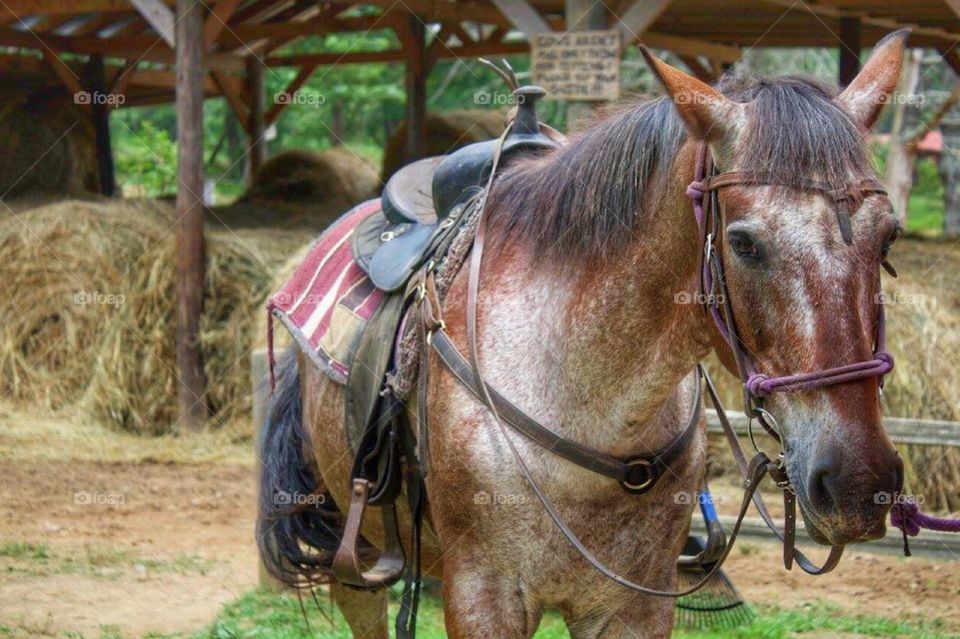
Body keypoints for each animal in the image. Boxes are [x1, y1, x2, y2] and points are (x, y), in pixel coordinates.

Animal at [260, 31, 908, 639]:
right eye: (744, 243)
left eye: (889, 236)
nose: (858, 481)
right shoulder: (484, 598)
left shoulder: (633, 605)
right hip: (356, 549)